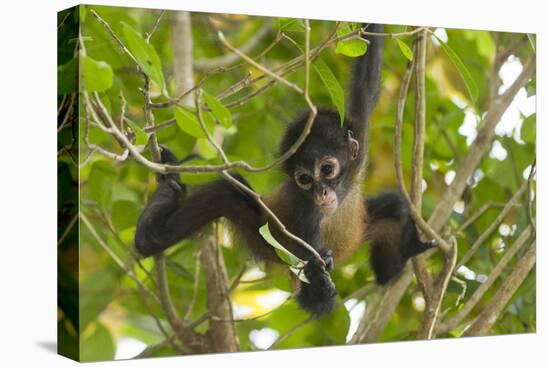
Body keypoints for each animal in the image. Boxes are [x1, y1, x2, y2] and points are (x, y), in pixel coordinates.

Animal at [134, 23, 436, 316]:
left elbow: (366, 80)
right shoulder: (305, 209)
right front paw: (319, 272)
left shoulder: (356, 135)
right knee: (223, 195)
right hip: (261, 232)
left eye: (327, 169)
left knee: (395, 207)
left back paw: (397, 260)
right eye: (304, 180)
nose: (321, 192)